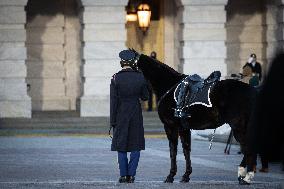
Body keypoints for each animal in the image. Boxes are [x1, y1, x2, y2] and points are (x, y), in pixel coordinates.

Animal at [136, 52, 258, 183]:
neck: (168, 86)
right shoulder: (184, 128)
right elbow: (186, 150)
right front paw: (186, 175)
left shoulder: (170, 126)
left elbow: (173, 151)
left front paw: (171, 175)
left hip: (238, 127)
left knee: (247, 148)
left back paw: (245, 176)